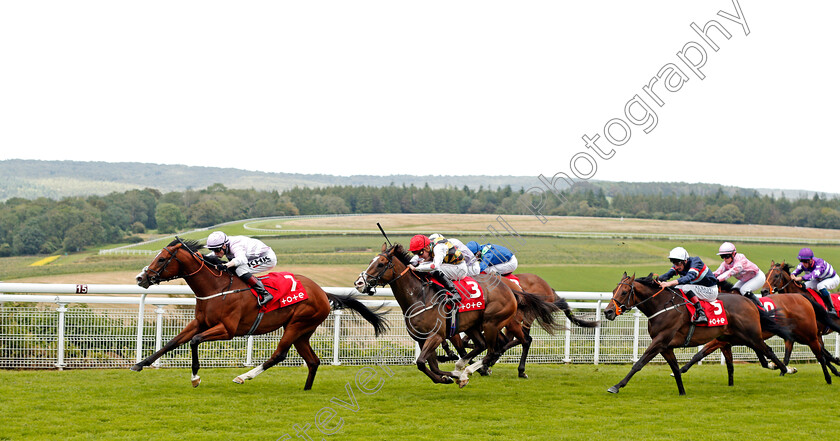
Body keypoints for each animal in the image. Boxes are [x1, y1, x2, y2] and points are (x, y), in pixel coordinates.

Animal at [134, 237, 388, 388]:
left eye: (162, 259)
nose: (140, 278)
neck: (216, 288)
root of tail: (322, 291)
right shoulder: (200, 322)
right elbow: (173, 342)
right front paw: (140, 364)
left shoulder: (227, 330)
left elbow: (194, 341)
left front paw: (195, 377)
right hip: (302, 331)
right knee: (313, 361)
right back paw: (306, 389)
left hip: (297, 324)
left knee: (279, 355)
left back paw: (243, 376)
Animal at [354, 242, 564, 386]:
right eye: (371, 261)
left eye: (381, 263)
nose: (359, 283)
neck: (419, 296)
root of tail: (511, 288)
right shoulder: (423, 339)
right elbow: (430, 365)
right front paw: (448, 376)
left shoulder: (436, 336)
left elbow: (422, 362)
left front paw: (454, 374)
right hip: (475, 326)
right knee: (484, 345)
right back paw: (465, 368)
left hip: (493, 323)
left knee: (499, 348)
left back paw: (476, 370)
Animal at [604, 272, 788, 396]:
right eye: (613, 290)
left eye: (624, 292)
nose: (608, 312)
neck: (662, 306)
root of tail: (749, 302)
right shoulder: (665, 346)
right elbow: (676, 368)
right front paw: (682, 392)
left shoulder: (660, 341)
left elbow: (639, 363)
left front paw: (616, 386)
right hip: (734, 337)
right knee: (762, 353)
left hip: (751, 335)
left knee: (768, 350)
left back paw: (785, 368)